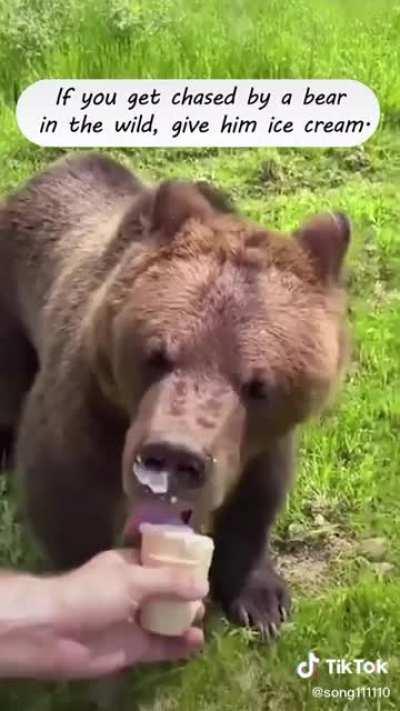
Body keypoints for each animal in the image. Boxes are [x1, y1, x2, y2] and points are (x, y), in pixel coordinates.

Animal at [0, 153, 350, 636]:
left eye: (258, 385)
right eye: (156, 356)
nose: (174, 454)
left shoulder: (264, 443)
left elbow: (256, 501)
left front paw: (261, 602)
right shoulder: (88, 412)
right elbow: (67, 501)